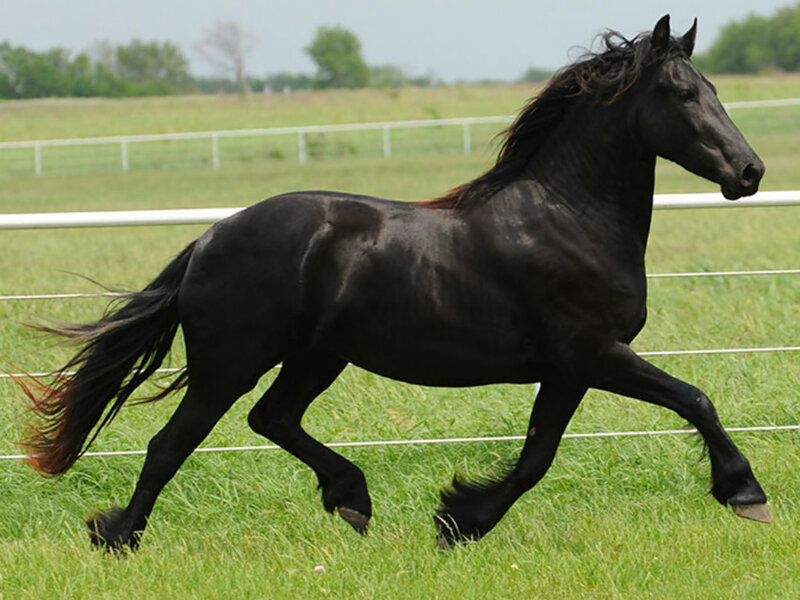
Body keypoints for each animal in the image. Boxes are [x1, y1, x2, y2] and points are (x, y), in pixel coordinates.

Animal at [20, 15, 769, 550]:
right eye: (681, 93)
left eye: (715, 90)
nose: (750, 172)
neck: (566, 216)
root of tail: (210, 238)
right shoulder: (594, 354)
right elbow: (695, 399)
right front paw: (745, 493)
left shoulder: (567, 370)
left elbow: (536, 457)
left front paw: (459, 520)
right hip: (230, 361)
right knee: (171, 444)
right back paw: (117, 536)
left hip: (316, 355)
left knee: (271, 418)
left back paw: (351, 498)